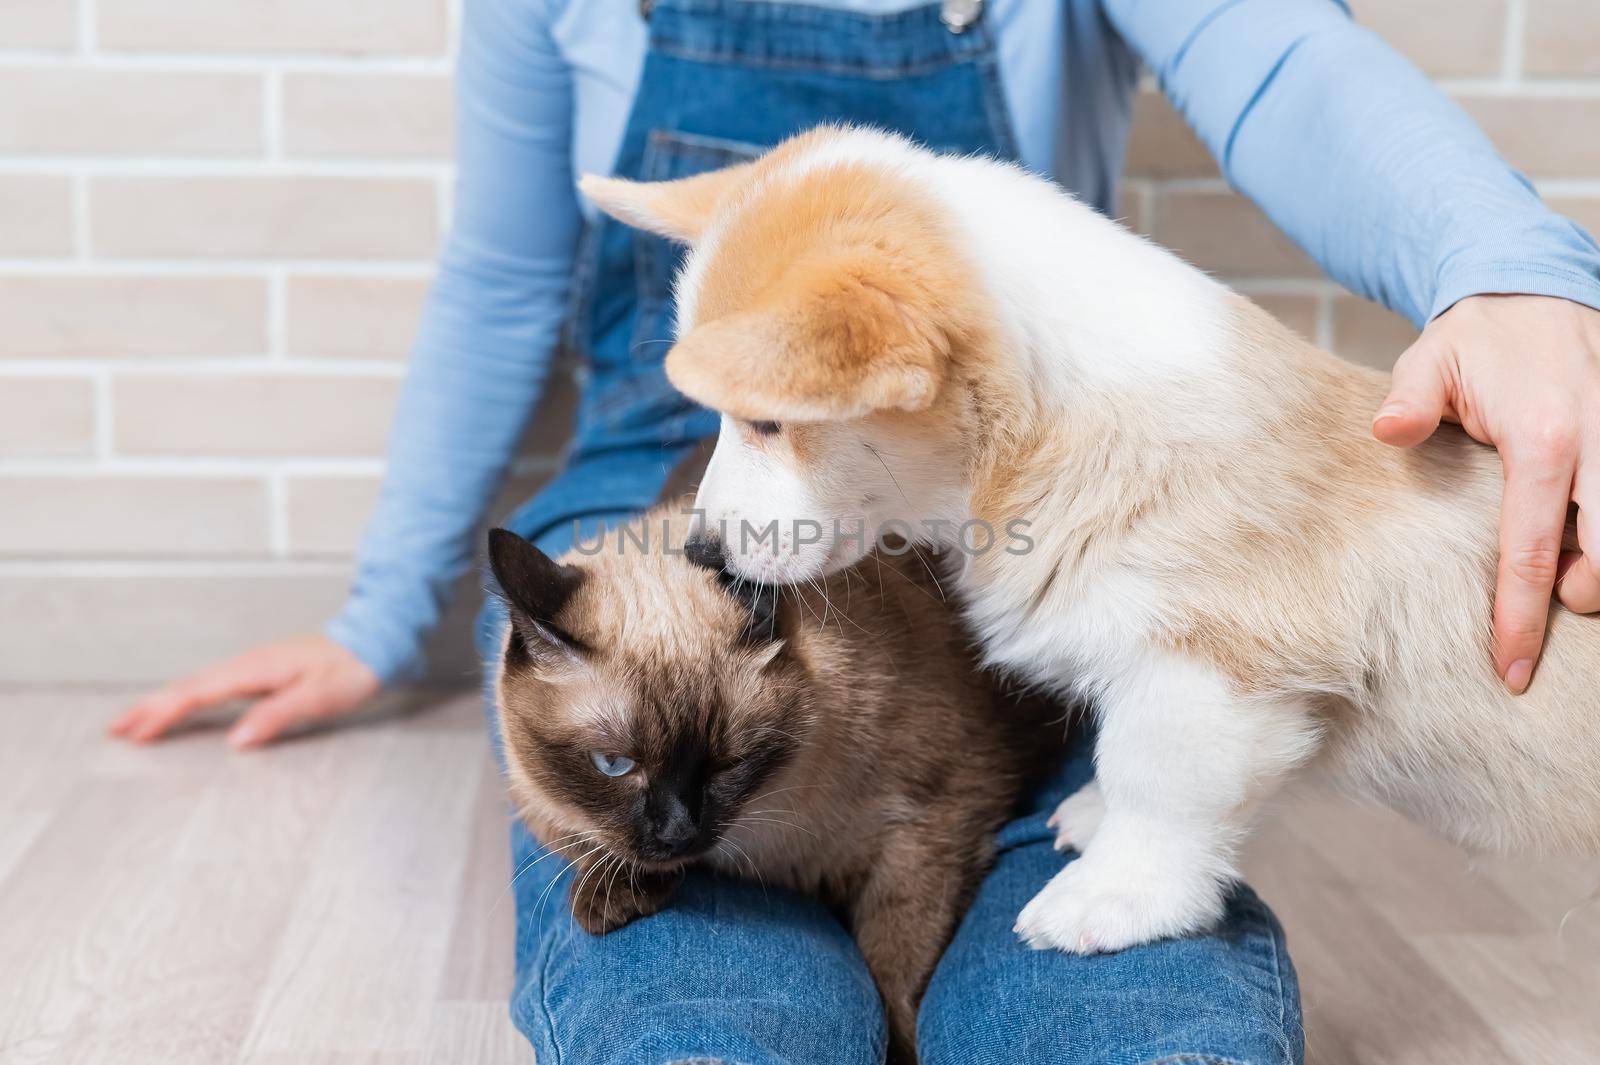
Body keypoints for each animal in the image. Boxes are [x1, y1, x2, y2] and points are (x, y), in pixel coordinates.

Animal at [486, 511, 1062, 1055]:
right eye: (613, 764)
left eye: (727, 762)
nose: (678, 834)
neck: (762, 843)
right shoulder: (537, 804)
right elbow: (587, 845)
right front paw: (613, 899)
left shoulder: (933, 825)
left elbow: (894, 979)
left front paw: (902, 1050)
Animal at [579, 126, 1600, 953]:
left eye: (768, 422)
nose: (701, 555)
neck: (1045, 427)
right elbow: (1118, 759)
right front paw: (1090, 815)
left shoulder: (1211, 671)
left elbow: (1156, 787)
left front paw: (1108, 898)